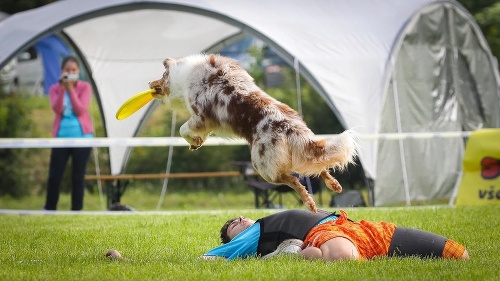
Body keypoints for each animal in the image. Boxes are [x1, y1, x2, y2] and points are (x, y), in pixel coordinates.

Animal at [148, 53, 356, 211]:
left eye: (162, 75)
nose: (150, 82)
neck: (185, 75)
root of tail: (290, 128)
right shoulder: (206, 122)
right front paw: (196, 142)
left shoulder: (201, 116)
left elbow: (183, 129)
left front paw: (194, 140)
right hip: (295, 154)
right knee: (318, 166)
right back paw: (334, 185)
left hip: (263, 165)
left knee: (294, 180)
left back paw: (310, 204)